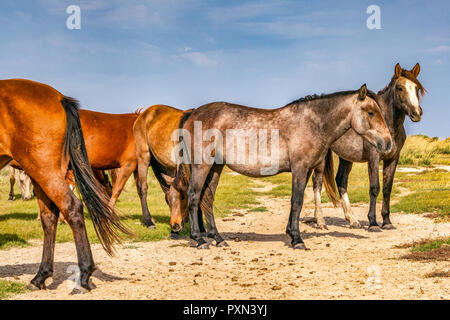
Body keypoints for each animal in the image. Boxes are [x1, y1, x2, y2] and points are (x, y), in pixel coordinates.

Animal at [0, 79, 130, 292]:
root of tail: (59, 98)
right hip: (40, 173)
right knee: (49, 217)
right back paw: (40, 276)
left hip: (43, 169)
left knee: (71, 207)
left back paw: (84, 274)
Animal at [174, 85, 392, 250]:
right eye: (371, 112)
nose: (388, 143)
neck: (312, 123)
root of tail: (192, 113)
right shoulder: (300, 168)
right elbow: (296, 201)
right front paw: (297, 239)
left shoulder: (307, 170)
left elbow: (297, 201)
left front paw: (291, 233)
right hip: (201, 166)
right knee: (194, 196)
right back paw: (199, 239)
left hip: (215, 168)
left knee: (207, 199)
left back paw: (218, 239)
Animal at [310, 63, 426, 231]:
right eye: (400, 88)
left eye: (416, 88)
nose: (416, 113)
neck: (388, 124)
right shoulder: (373, 156)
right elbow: (374, 187)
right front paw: (373, 223)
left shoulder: (393, 158)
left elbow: (387, 188)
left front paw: (387, 221)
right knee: (317, 182)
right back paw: (320, 221)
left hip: (346, 157)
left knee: (341, 181)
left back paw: (352, 220)